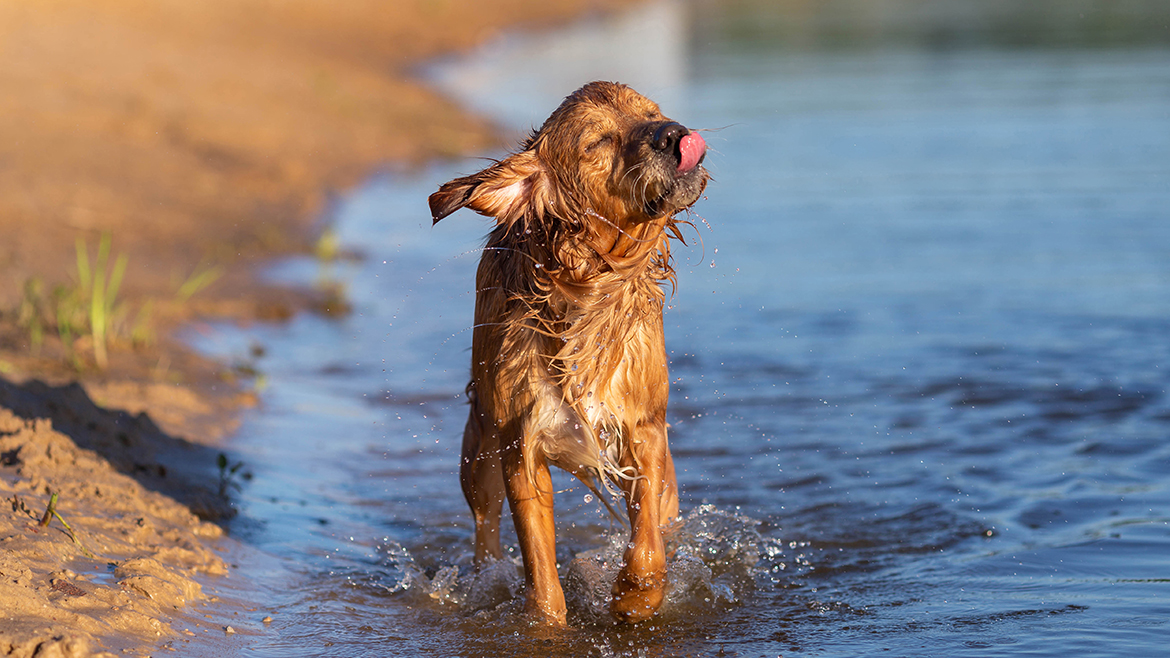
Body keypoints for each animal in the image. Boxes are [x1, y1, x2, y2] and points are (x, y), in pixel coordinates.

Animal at [428, 79, 706, 622]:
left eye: (653, 112)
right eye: (597, 142)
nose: (674, 134)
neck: (585, 289)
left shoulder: (643, 430)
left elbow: (647, 545)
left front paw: (635, 596)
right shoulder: (521, 446)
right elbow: (541, 578)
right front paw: (549, 622)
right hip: (479, 448)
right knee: (484, 529)